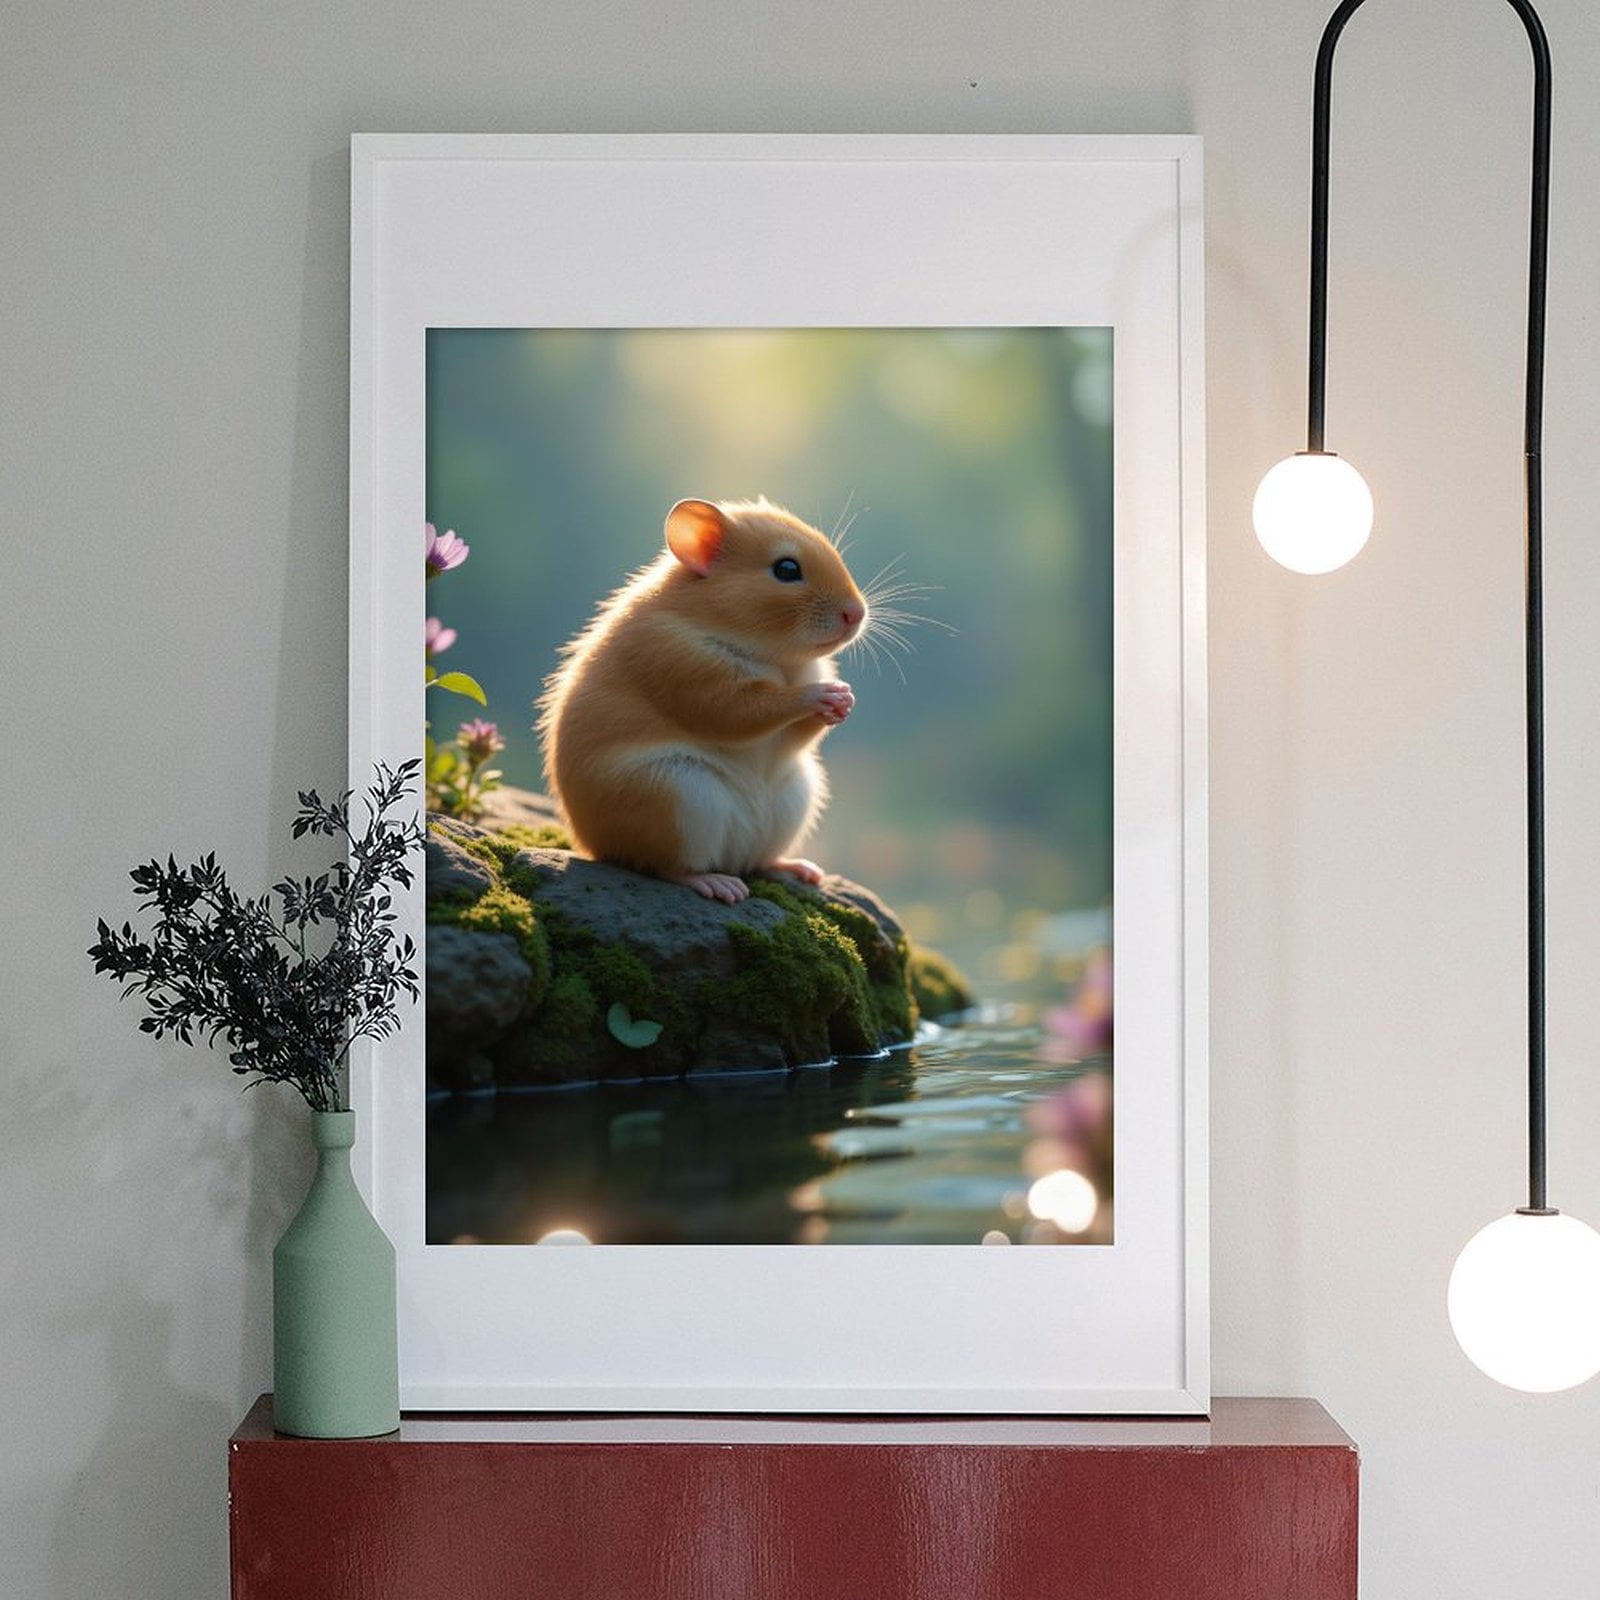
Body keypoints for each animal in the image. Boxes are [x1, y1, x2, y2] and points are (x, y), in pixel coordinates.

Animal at [538, 497, 867, 904]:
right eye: (787, 569)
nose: (857, 613)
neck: (779, 658)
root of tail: (592, 847)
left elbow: (796, 736)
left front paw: (843, 701)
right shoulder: (687, 670)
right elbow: (745, 710)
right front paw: (820, 695)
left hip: (795, 798)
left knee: (759, 860)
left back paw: (796, 868)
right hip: (677, 796)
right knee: (663, 866)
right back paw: (715, 883)